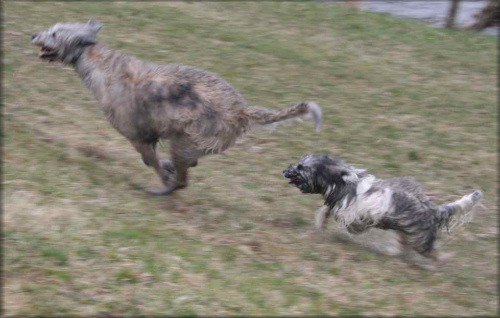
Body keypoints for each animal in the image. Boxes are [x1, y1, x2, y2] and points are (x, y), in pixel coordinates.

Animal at [286, 155, 484, 264]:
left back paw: (440, 263)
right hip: (407, 233)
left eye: (301, 167)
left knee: (433, 253)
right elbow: (325, 211)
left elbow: (341, 218)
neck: (341, 181)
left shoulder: (353, 214)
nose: (285, 170)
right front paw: (320, 224)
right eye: (298, 163)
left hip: (419, 239)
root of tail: (433, 210)